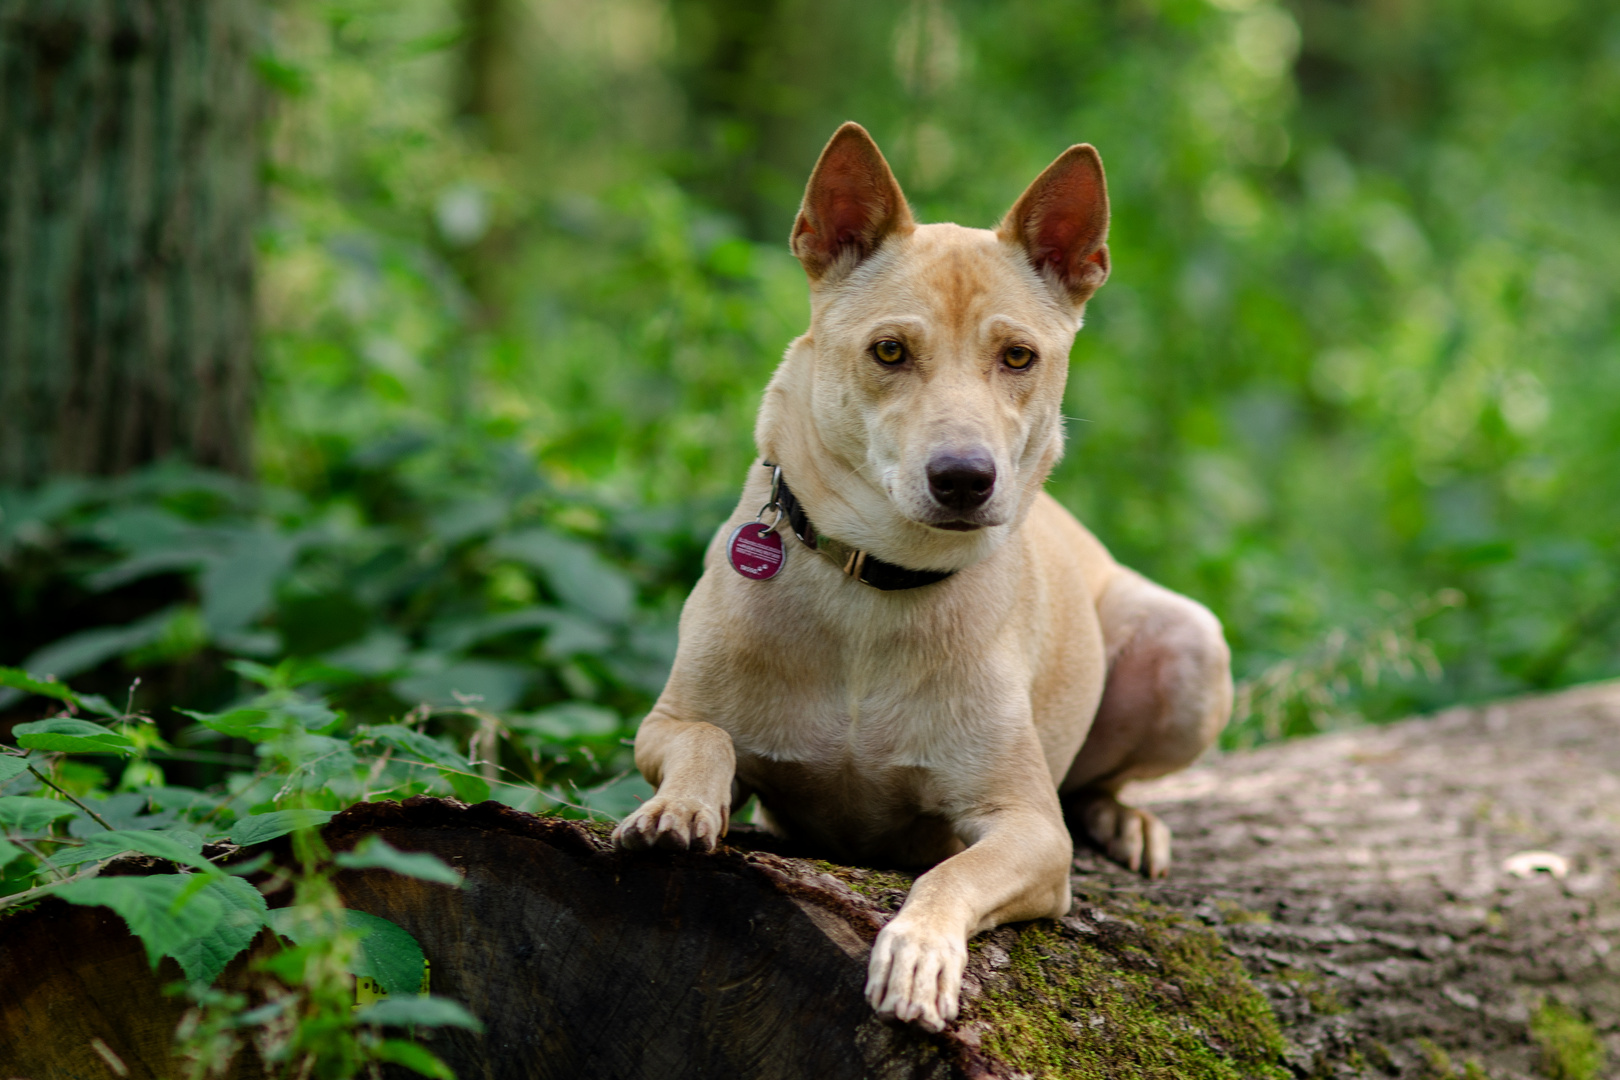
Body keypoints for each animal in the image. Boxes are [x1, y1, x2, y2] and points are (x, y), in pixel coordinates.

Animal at [612, 122, 1231, 1036]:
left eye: (1019, 356)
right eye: (890, 351)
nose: (965, 478)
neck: (876, 584)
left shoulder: (1030, 830)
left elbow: (952, 871)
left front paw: (918, 948)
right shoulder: (667, 722)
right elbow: (705, 741)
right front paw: (678, 809)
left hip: (1190, 644)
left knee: (1098, 781)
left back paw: (1124, 820)